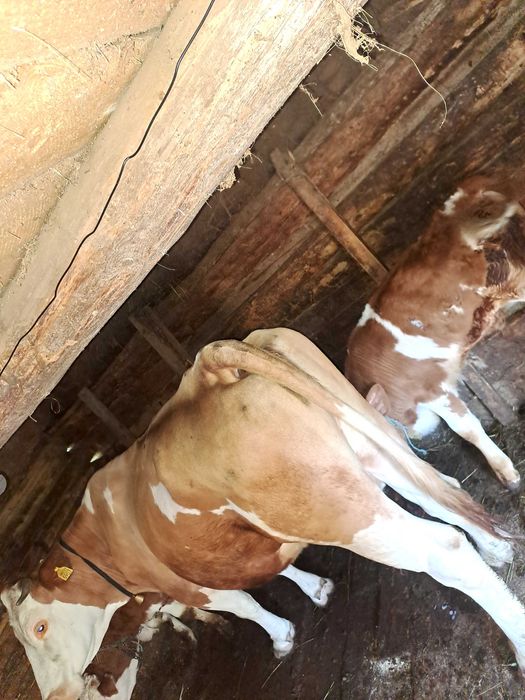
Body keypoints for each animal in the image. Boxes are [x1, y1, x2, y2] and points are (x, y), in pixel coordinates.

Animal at [1, 327, 524, 700]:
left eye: (39, 629)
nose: (59, 695)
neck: (107, 532)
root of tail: (207, 367)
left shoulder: (184, 583)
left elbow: (243, 604)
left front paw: (282, 636)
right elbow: (282, 567)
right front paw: (317, 588)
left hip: (338, 511)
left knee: (444, 546)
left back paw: (518, 639)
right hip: (365, 444)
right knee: (442, 491)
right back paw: (496, 548)